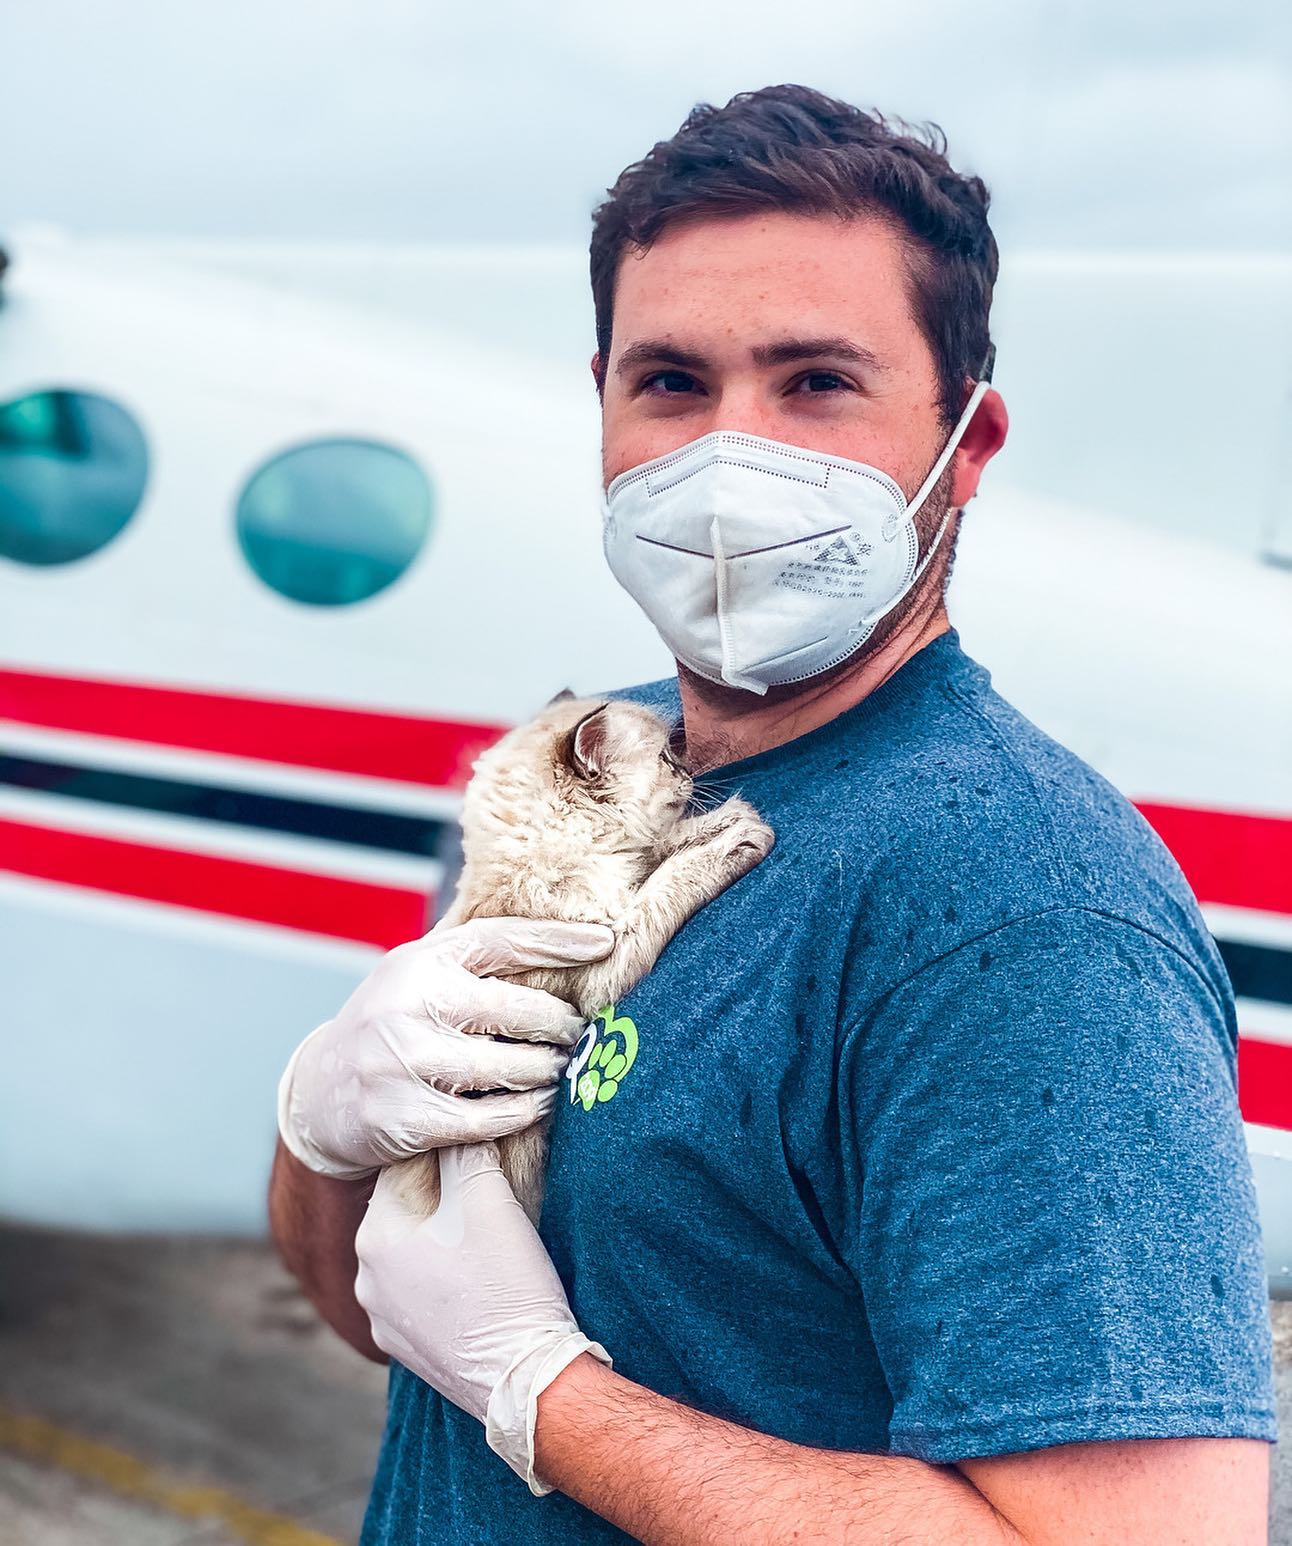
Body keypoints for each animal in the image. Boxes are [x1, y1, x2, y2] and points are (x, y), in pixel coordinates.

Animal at [392, 691, 774, 1223]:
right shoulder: (605, 961)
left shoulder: (632, 875)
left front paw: (720, 822)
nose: (689, 772)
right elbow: (671, 879)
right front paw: (739, 833)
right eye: (667, 758)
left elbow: (661, 852)